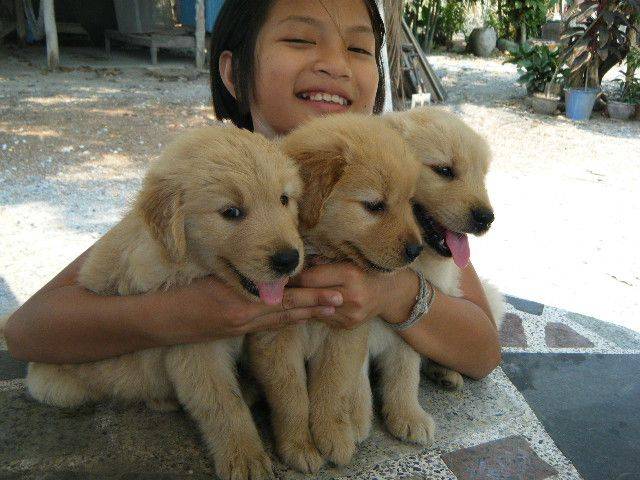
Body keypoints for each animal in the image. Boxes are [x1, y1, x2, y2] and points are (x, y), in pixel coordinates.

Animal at [25, 125, 305, 480]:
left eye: (284, 199)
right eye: (231, 212)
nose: (288, 259)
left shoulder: (273, 328)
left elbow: (290, 385)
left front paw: (300, 444)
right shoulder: (196, 346)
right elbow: (224, 405)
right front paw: (245, 458)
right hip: (58, 386)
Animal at [248, 113, 424, 472]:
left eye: (410, 203)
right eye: (374, 206)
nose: (417, 250)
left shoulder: (345, 334)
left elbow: (332, 388)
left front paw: (333, 435)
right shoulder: (274, 340)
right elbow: (291, 398)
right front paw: (299, 445)